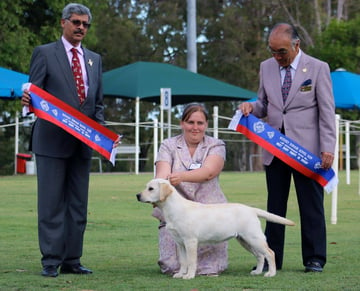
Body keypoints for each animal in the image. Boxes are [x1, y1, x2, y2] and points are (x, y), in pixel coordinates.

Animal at [136, 179, 294, 280]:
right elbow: (183, 261)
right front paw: (180, 274)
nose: (137, 195)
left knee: (270, 253)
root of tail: (251, 209)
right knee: (260, 256)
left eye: (151, 188)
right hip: (245, 240)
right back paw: (257, 272)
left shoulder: (190, 241)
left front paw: (189, 276)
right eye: (146, 187)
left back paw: (271, 274)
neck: (173, 208)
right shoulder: (180, 243)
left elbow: (191, 261)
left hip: (254, 238)